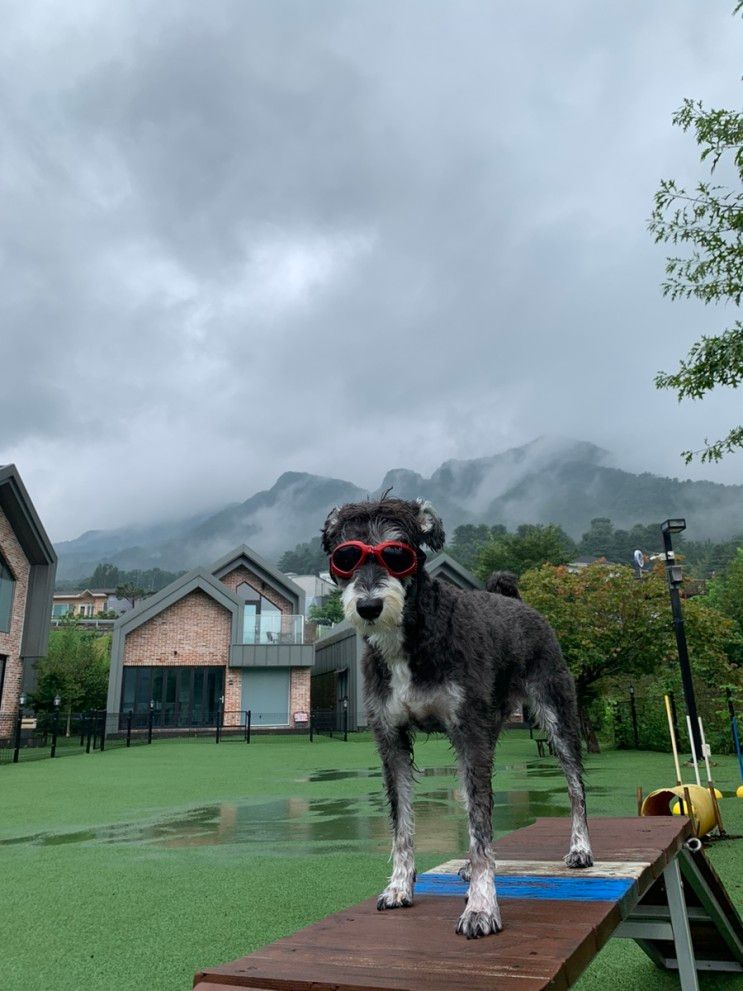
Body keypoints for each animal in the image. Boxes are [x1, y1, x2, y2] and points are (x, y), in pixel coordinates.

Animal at [320, 496, 592, 936]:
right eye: (345, 557)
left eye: (398, 554)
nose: (369, 606)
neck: (411, 636)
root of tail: (519, 603)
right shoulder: (391, 740)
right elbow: (403, 821)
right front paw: (399, 887)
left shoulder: (469, 734)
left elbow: (481, 822)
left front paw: (481, 906)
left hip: (556, 717)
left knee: (574, 787)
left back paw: (581, 848)